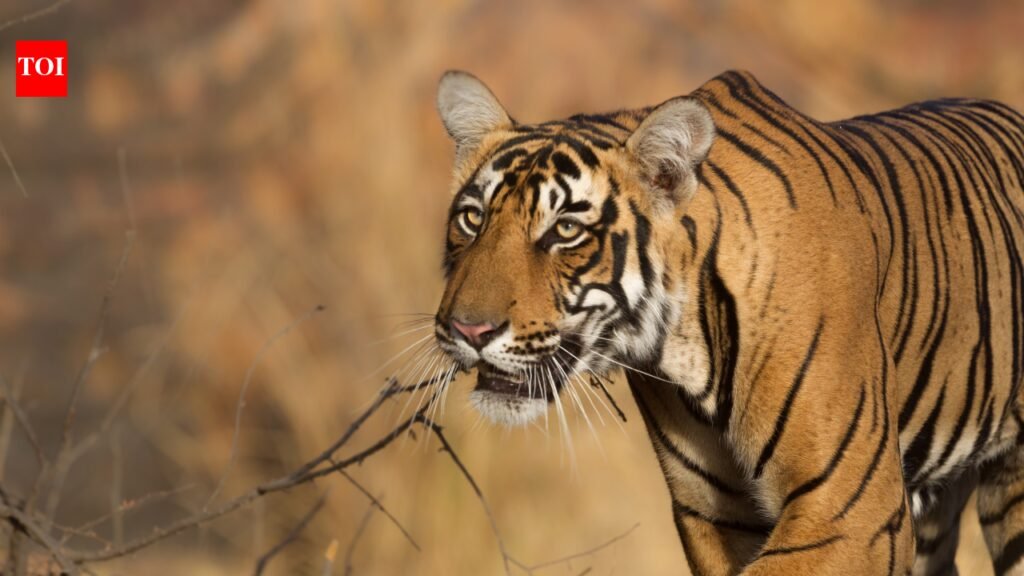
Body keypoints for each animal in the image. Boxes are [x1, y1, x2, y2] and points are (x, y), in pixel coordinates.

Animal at [428, 68, 1024, 575]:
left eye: (566, 230)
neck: (686, 345)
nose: (468, 331)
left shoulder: (850, 511)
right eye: (472, 218)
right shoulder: (717, 514)